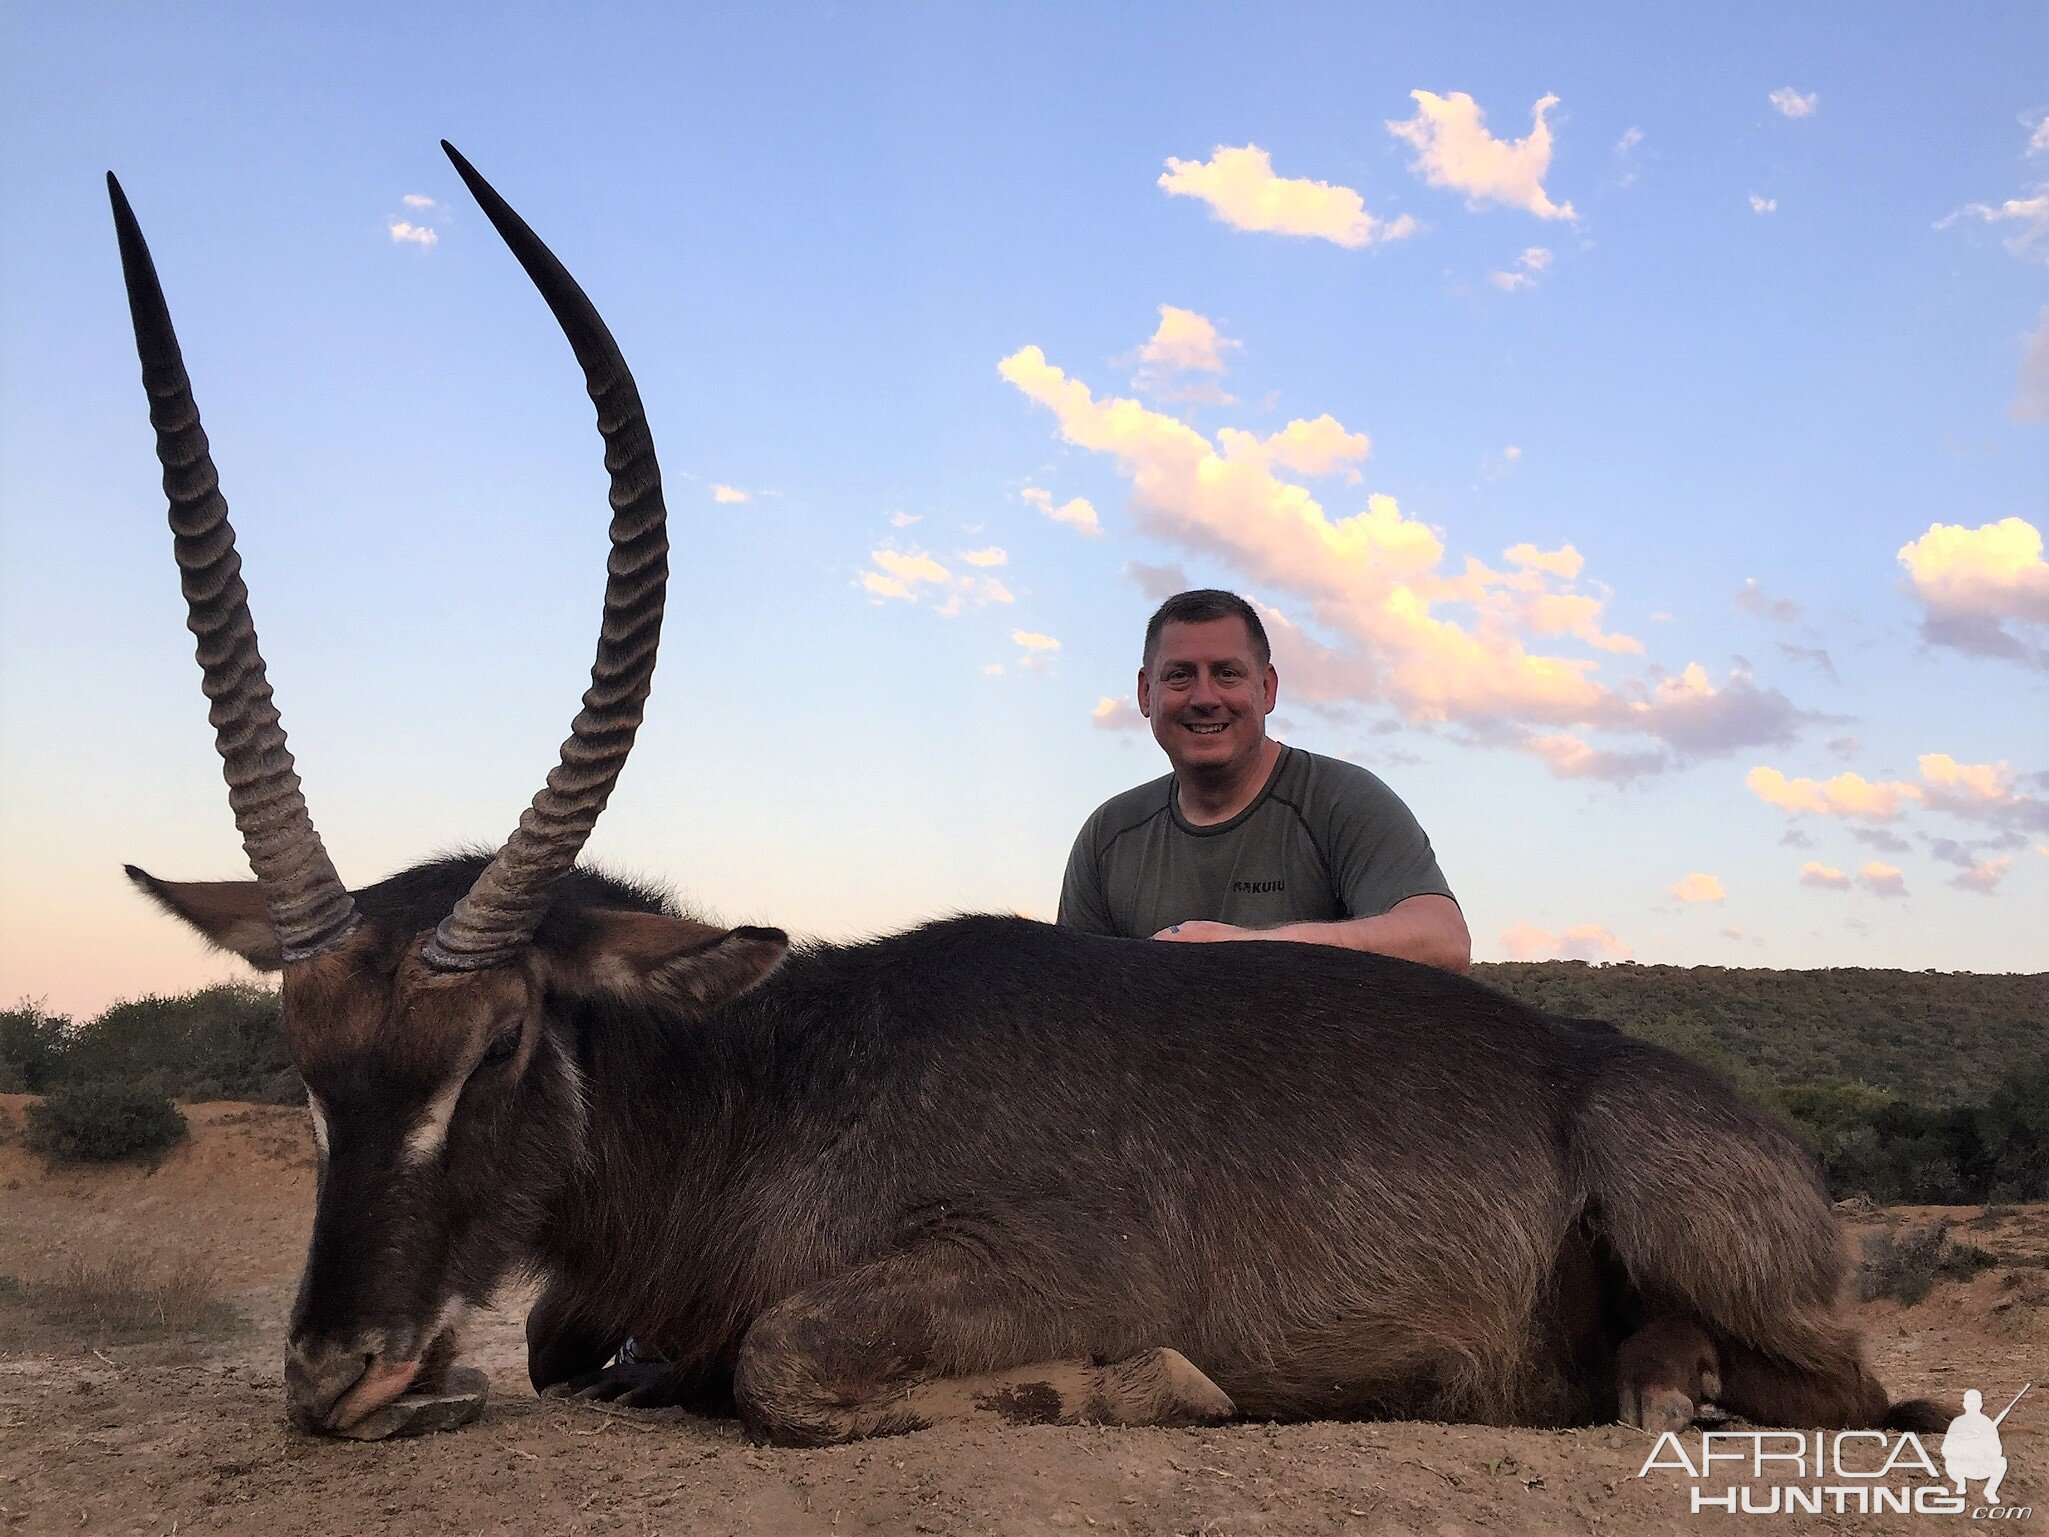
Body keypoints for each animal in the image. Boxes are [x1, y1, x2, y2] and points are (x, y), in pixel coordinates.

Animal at [112, 141, 1934, 1442]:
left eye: (496, 1044)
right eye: (303, 1054)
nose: (331, 1375)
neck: (766, 1083)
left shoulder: (1027, 1270)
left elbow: (782, 1361)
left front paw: (1144, 1385)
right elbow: (579, 1351)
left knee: (1844, 1390)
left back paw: (1664, 1388)